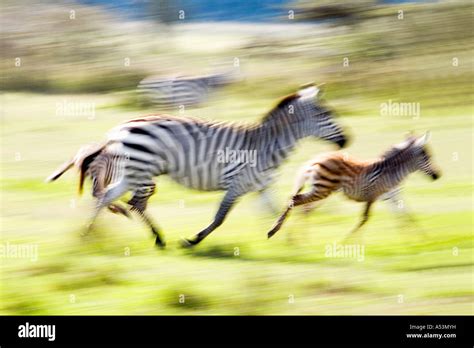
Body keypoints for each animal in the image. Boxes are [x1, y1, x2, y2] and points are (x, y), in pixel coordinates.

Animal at [47, 84, 348, 247]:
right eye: (325, 114)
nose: (347, 140)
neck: (267, 145)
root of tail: (120, 127)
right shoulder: (237, 184)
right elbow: (220, 217)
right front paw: (193, 240)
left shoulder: (262, 186)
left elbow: (279, 209)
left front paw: (284, 238)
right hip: (142, 169)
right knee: (129, 202)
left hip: (134, 171)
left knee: (111, 197)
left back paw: (93, 234)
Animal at [266, 133, 440, 239]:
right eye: (426, 156)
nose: (436, 176)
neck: (391, 171)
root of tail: (316, 159)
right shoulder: (375, 195)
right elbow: (365, 219)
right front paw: (348, 242)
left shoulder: (389, 195)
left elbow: (406, 214)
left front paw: (419, 238)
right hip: (322, 190)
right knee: (297, 201)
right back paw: (277, 232)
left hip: (321, 190)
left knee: (301, 205)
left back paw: (291, 237)